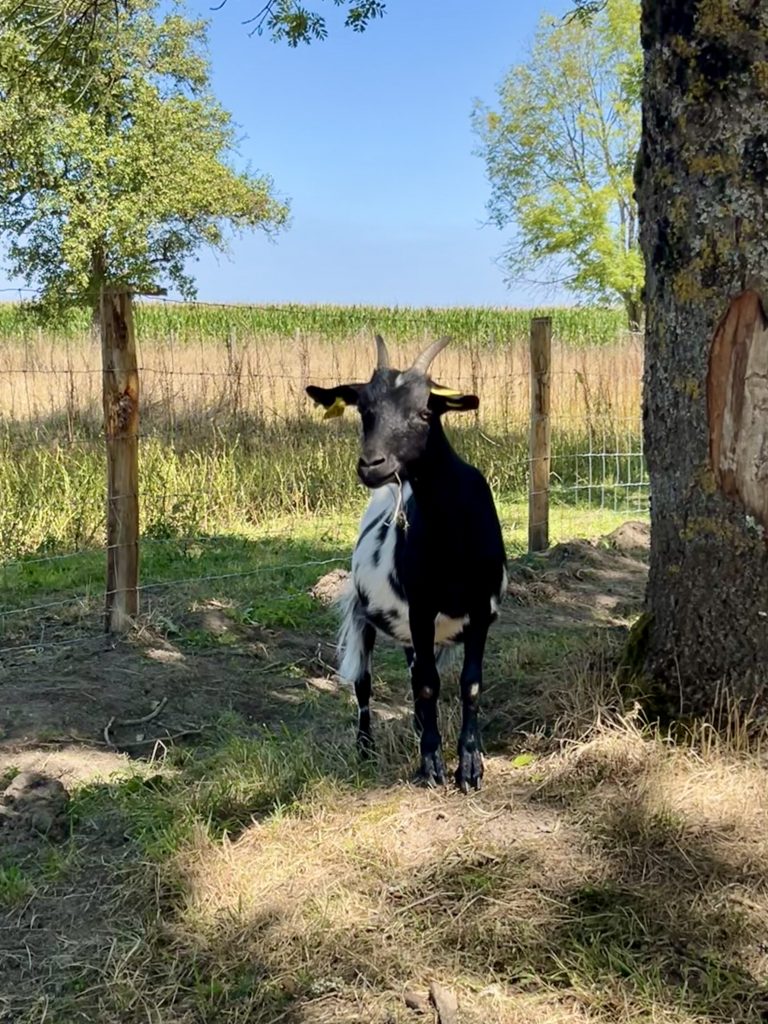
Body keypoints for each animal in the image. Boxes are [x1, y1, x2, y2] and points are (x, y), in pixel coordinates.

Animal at [306, 335, 507, 791]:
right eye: (364, 410)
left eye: (425, 411)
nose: (372, 465)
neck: (454, 538)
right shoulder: (419, 606)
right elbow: (429, 685)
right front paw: (431, 764)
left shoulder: (480, 609)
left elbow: (469, 684)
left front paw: (470, 766)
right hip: (365, 613)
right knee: (365, 682)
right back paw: (366, 749)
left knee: (415, 671)